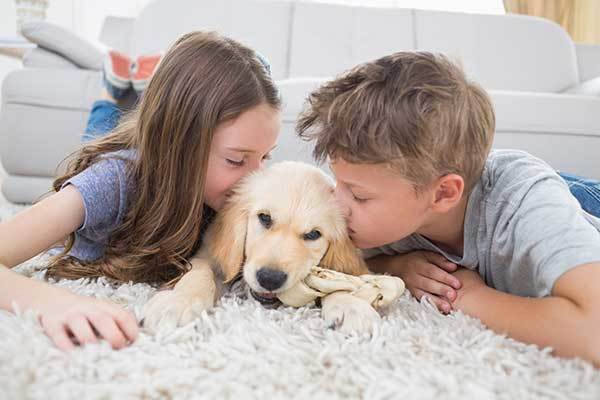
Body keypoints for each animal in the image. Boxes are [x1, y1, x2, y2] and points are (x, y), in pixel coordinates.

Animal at [142, 161, 380, 332]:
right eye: (265, 217)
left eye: (313, 234)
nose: (270, 279)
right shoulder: (208, 254)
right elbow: (199, 273)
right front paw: (178, 302)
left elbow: (338, 278)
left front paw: (349, 305)